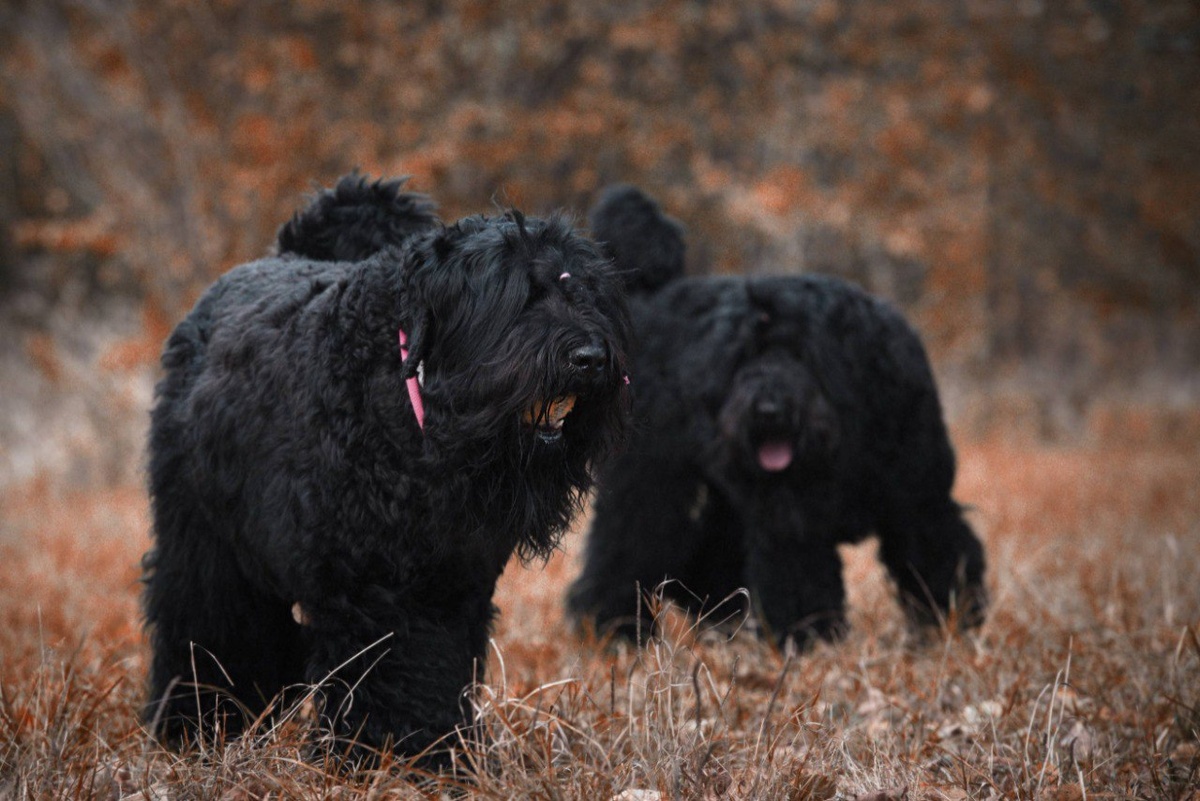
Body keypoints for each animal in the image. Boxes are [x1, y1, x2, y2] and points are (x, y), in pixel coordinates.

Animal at [141, 173, 633, 762]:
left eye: (586, 292)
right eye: (519, 294)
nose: (590, 357)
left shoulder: (454, 581)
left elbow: (437, 666)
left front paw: (442, 755)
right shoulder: (371, 583)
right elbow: (388, 670)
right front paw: (387, 756)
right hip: (207, 542)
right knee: (208, 623)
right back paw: (197, 722)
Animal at [568, 184, 984, 647]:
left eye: (802, 353)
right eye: (741, 356)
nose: (767, 409)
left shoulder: (920, 500)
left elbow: (936, 557)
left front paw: (951, 624)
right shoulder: (791, 526)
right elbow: (800, 584)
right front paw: (809, 643)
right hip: (648, 483)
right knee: (623, 553)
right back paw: (616, 630)